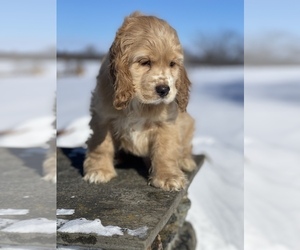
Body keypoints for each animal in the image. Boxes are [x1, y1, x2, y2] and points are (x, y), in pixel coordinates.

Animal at [83, 11, 196, 190]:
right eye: (145, 62)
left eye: (172, 64)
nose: (164, 90)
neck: (138, 102)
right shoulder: (102, 118)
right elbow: (102, 146)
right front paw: (99, 170)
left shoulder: (166, 123)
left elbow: (166, 150)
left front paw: (168, 177)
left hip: (188, 123)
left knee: (185, 147)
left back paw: (185, 161)